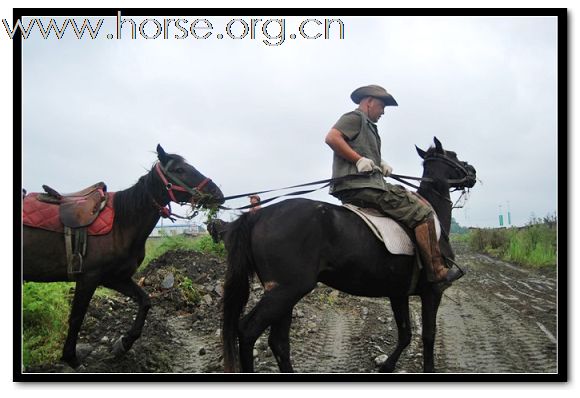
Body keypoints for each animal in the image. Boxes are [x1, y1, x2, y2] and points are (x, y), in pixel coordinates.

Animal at [21, 145, 224, 368]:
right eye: (179, 170)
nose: (217, 193)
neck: (121, 223)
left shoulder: (114, 278)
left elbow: (145, 301)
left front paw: (124, 343)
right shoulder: (89, 278)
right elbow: (76, 317)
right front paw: (70, 358)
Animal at [221, 138, 476, 374]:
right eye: (454, 156)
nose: (472, 171)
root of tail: (257, 215)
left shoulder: (398, 293)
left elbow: (405, 333)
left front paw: (387, 366)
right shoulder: (433, 292)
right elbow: (428, 335)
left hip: (284, 294)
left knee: (279, 343)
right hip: (286, 291)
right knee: (248, 331)